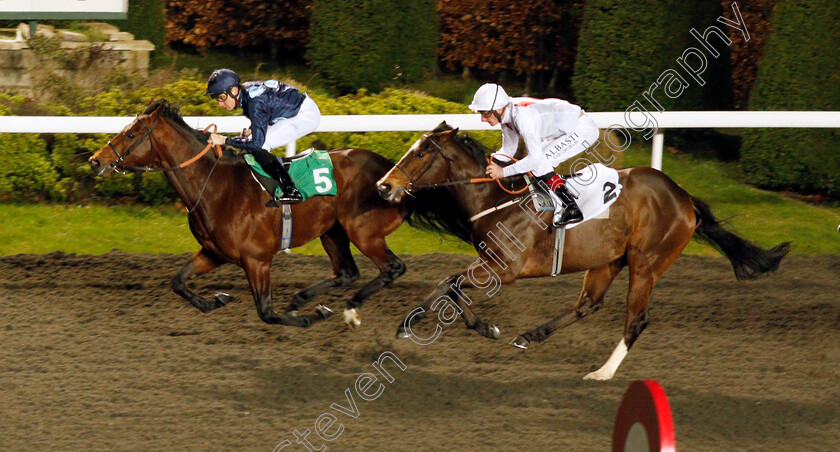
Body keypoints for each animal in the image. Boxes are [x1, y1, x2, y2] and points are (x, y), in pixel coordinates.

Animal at [88, 100, 410, 328]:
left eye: (131, 133)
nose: (95, 161)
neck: (216, 186)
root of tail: (391, 173)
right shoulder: (214, 252)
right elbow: (177, 281)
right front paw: (217, 300)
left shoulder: (257, 260)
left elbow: (266, 312)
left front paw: (311, 317)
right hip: (332, 231)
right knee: (347, 272)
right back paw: (303, 299)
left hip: (363, 231)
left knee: (392, 268)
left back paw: (348, 308)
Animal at [378, 123, 792, 382]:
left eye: (421, 154)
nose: (384, 186)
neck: (495, 199)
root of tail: (684, 197)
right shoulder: (492, 265)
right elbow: (449, 285)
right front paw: (457, 326)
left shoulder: (504, 268)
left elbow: (447, 282)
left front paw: (424, 327)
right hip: (608, 259)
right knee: (588, 304)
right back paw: (530, 335)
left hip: (647, 262)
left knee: (636, 320)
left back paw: (602, 373)